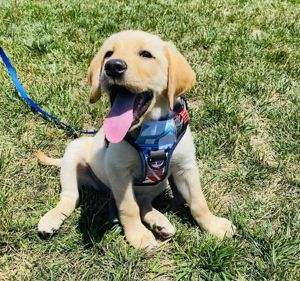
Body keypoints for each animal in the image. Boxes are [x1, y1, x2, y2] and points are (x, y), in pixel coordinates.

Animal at [37, 30, 236, 248]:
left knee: (143, 202)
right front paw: (138, 235)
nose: (112, 66)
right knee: (70, 196)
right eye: (108, 53)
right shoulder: (119, 171)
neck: (152, 130)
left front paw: (213, 225)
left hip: (158, 184)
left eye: (146, 54)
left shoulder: (186, 167)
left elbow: (199, 202)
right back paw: (51, 219)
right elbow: (128, 207)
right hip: (74, 152)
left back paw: (159, 222)